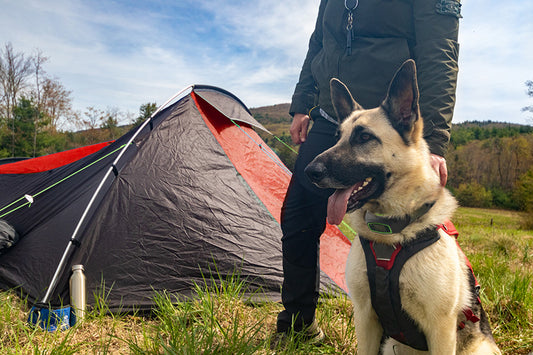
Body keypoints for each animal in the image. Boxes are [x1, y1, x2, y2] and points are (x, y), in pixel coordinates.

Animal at [304, 59, 498, 354]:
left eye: (364, 138)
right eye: (337, 137)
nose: (309, 172)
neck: (390, 232)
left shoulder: (441, 329)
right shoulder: (365, 318)